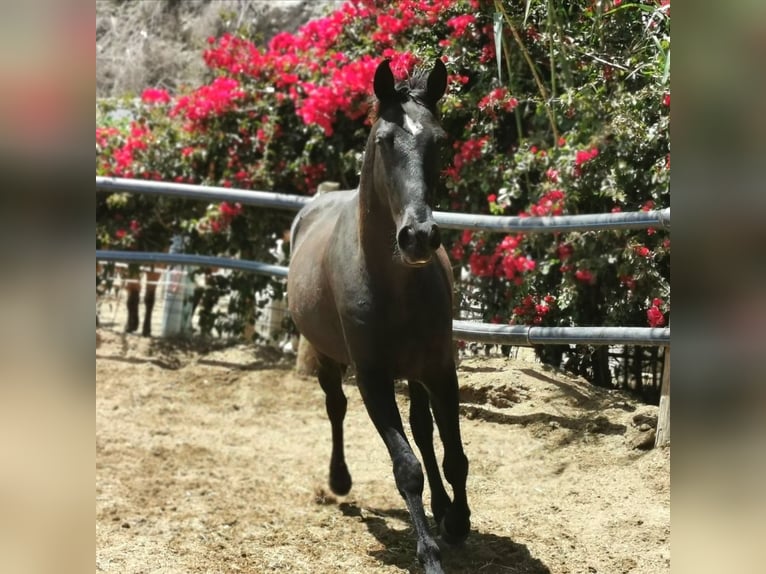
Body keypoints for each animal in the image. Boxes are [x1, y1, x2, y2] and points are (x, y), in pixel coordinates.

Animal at [286, 60, 468, 572]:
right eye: (385, 139)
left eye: (439, 140)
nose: (419, 236)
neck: (393, 285)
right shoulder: (373, 378)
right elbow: (406, 468)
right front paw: (429, 552)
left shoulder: (439, 369)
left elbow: (452, 455)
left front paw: (457, 522)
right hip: (328, 359)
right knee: (336, 407)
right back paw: (340, 481)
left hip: (417, 371)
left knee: (424, 431)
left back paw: (444, 509)